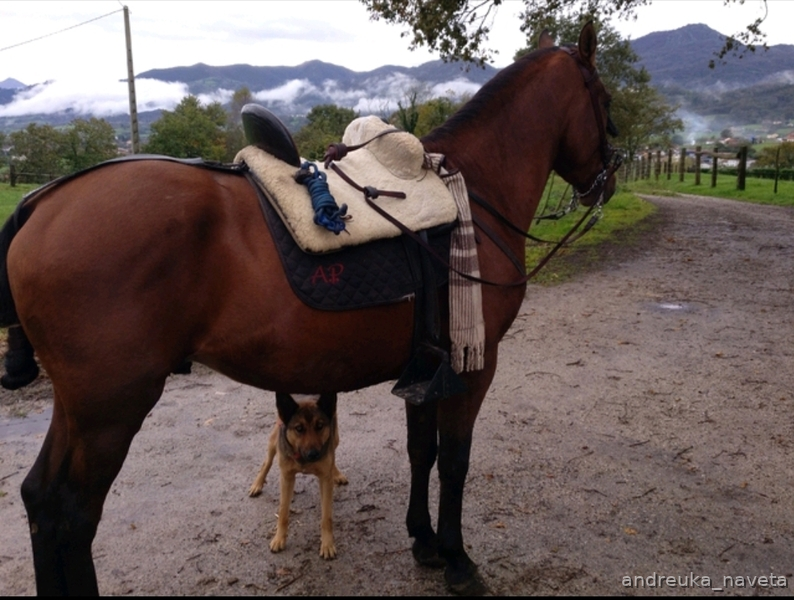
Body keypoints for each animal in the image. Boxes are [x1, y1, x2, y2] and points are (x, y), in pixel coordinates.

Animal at [0, 22, 619, 595]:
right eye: (606, 101)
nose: (607, 180)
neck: (467, 195)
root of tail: (41, 201)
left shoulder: (426, 370)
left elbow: (422, 452)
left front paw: (423, 542)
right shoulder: (474, 365)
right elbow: (455, 461)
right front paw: (457, 559)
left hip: (79, 405)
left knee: (40, 501)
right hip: (108, 407)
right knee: (69, 512)